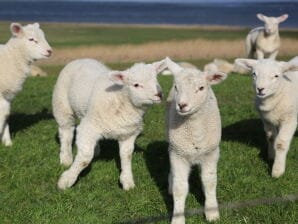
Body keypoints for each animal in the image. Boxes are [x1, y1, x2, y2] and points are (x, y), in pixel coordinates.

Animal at [53, 58, 168, 191]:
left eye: (156, 79)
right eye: (136, 85)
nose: (159, 94)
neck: (120, 99)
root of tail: (82, 59)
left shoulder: (128, 133)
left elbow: (126, 155)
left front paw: (127, 181)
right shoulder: (87, 128)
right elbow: (85, 158)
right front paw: (67, 180)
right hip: (61, 105)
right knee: (66, 131)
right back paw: (66, 158)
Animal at [166, 57, 227, 222]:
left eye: (201, 88)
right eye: (176, 87)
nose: (182, 105)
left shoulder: (211, 153)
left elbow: (209, 182)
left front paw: (212, 213)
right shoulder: (178, 153)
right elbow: (180, 187)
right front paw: (178, 218)